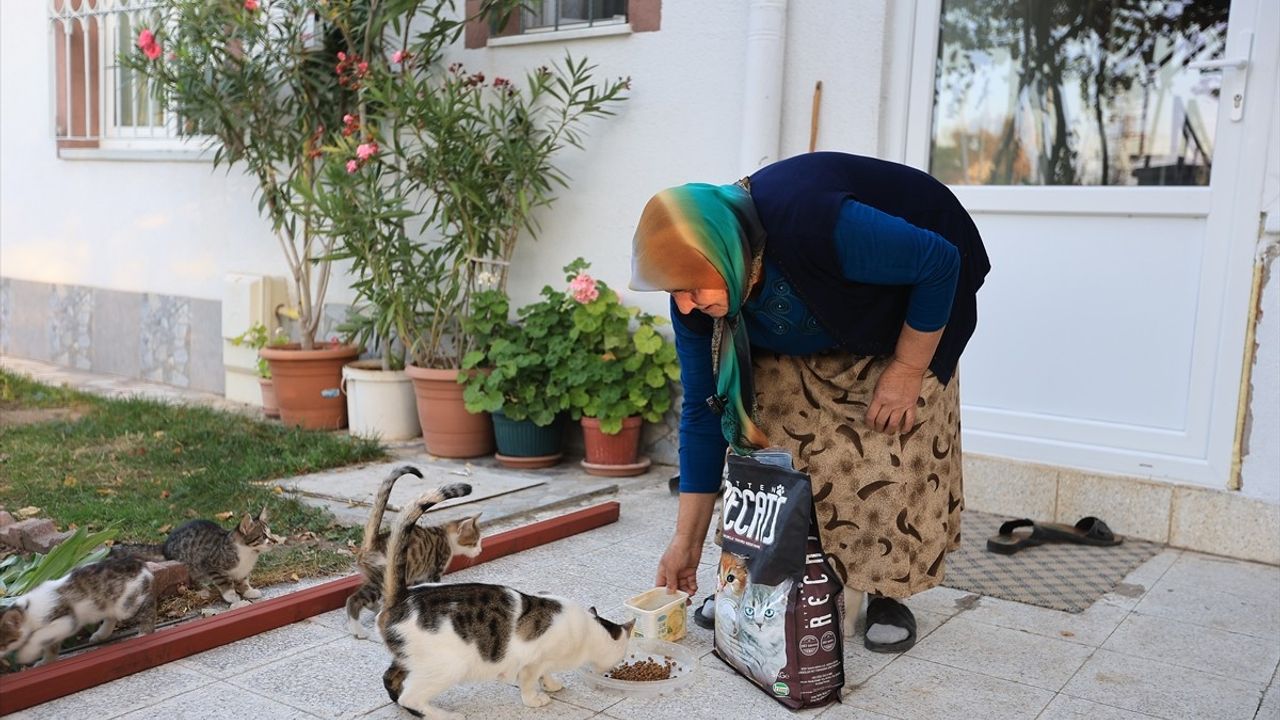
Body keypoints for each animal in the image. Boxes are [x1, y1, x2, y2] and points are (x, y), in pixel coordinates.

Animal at [0, 550, 156, 666]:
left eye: (1, 644)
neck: (27, 611)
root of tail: (140, 564)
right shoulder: (56, 632)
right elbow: (51, 646)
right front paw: (45, 662)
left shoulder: (66, 620)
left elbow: (38, 636)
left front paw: (25, 654)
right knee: (111, 617)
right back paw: (101, 634)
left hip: (126, 604)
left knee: (148, 605)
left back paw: (144, 632)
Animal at [343, 461, 481, 635]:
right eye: (475, 542)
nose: (480, 551)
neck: (445, 535)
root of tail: (372, 543)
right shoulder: (435, 570)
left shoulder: (419, 576)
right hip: (379, 580)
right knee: (353, 599)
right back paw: (358, 630)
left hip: (373, 577)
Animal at [378, 484, 640, 712]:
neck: (587, 630)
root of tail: (403, 596)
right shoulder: (533, 661)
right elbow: (528, 680)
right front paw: (535, 699)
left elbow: (544, 673)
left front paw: (551, 684)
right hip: (448, 665)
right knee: (411, 697)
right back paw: (445, 715)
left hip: (409, 658)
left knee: (391, 679)